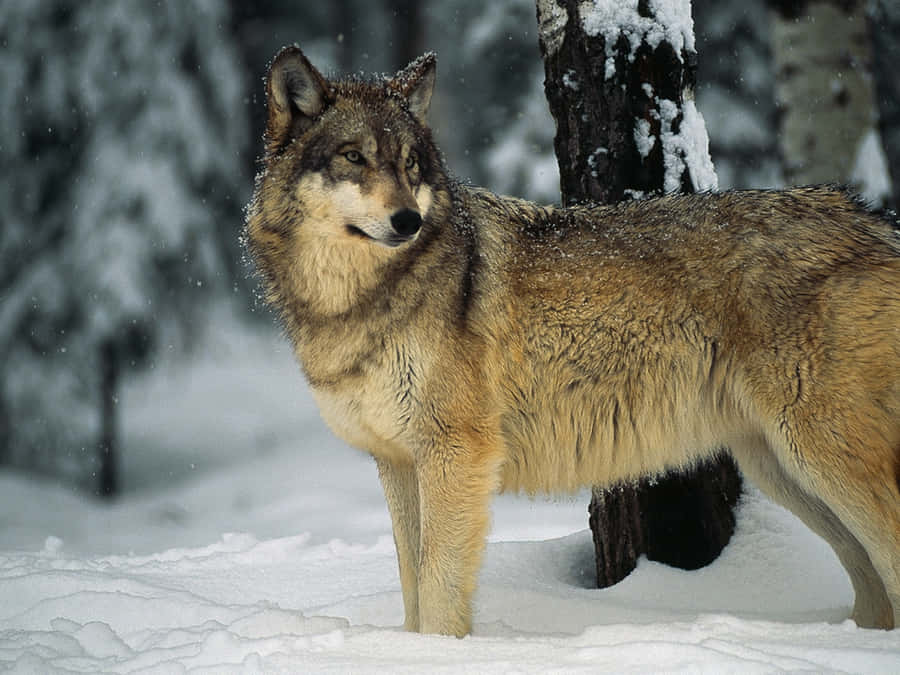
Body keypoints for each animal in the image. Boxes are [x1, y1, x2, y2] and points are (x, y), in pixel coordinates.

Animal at [245, 45, 900, 637]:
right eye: (354, 157)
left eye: (410, 165)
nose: (407, 220)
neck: (358, 303)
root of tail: (871, 219)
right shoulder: (398, 462)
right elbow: (412, 585)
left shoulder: (456, 455)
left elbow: (437, 590)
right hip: (781, 469)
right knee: (869, 579)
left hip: (820, 459)